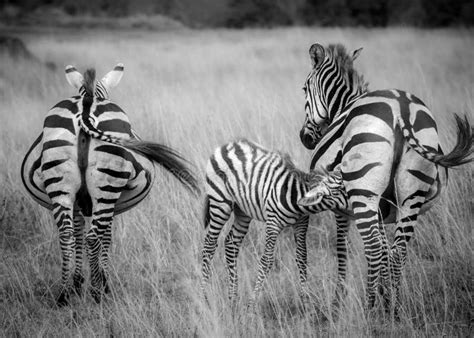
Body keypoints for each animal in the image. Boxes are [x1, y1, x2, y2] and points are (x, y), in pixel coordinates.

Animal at [19, 64, 198, 306]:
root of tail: (87, 105)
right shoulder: (111, 204)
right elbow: (106, 237)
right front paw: (101, 282)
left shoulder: (77, 204)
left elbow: (78, 233)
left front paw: (77, 283)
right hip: (108, 185)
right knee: (93, 238)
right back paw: (97, 293)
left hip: (60, 183)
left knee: (66, 235)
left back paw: (64, 295)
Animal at [200, 139, 348, 308]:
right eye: (343, 189)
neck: (295, 196)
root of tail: (227, 145)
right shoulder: (273, 223)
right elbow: (266, 261)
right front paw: (252, 304)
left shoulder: (301, 223)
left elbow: (302, 257)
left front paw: (306, 301)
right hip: (220, 203)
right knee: (209, 245)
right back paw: (205, 298)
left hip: (242, 211)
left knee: (231, 243)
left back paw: (233, 299)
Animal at [298, 43, 472, 314]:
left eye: (305, 89)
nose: (304, 138)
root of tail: (402, 108)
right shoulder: (380, 206)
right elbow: (384, 248)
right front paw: (385, 294)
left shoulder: (342, 205)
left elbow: (342, 248)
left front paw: (340, 301)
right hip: (411, 195)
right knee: (397, 249)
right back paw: (396, 309)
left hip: (364, 192)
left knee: (373, 246)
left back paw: (370, 309)